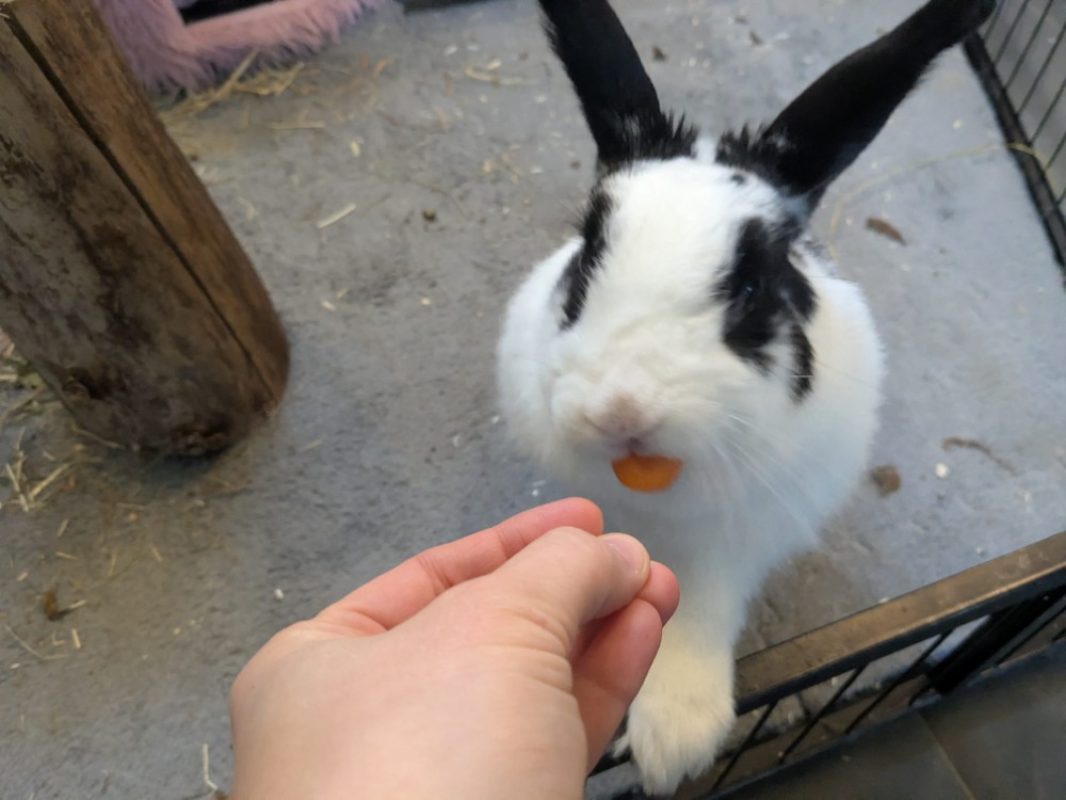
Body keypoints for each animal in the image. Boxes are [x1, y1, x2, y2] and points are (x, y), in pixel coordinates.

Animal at [496, 0, 998, 794]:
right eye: (585, 258)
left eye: (755, 286)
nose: (621, 412)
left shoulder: (740, 538)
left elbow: (700, 608)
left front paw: (672, 740)